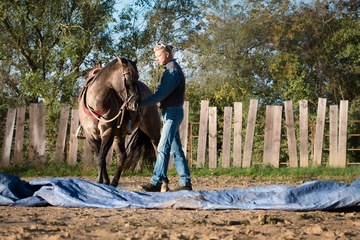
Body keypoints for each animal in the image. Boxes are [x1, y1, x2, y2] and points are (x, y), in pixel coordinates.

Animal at [78, 56, 161, 188]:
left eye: (137, 76)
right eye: (127, 76)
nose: (136, 103)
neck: (96, 103)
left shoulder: (108, 132)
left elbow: (101, 158)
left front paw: (100, 181)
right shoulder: (90, 136)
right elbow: (100, 157)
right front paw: (105, 181)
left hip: (152, 130)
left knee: (158, 150)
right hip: (119, 137)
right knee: (122, 156)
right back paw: (114, 182)